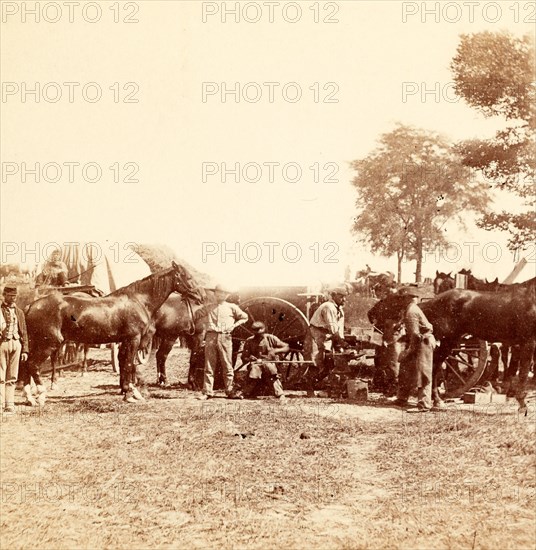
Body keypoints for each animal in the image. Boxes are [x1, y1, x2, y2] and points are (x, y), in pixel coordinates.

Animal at [23, 266, 204, 404]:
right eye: (188, 277)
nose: (201, 296)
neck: (138, 301)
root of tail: (31, 306)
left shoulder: (125, 341)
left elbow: (125, 363)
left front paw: (127, 390)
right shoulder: (133, 339)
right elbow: (129, 364)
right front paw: (131, 394)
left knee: (25, 365)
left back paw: (29, 397)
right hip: (48, 344)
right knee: (32, 365)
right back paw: (41, 395)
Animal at [368, 280, 536, 414]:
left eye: (392, 297)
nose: (371, 314)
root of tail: (430, 302)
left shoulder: (520, 344)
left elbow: (516, 371)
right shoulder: (528, 343)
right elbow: (523, 373)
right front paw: (522, 406)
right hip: (448, 342)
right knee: (434, 367)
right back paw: (436, 401)